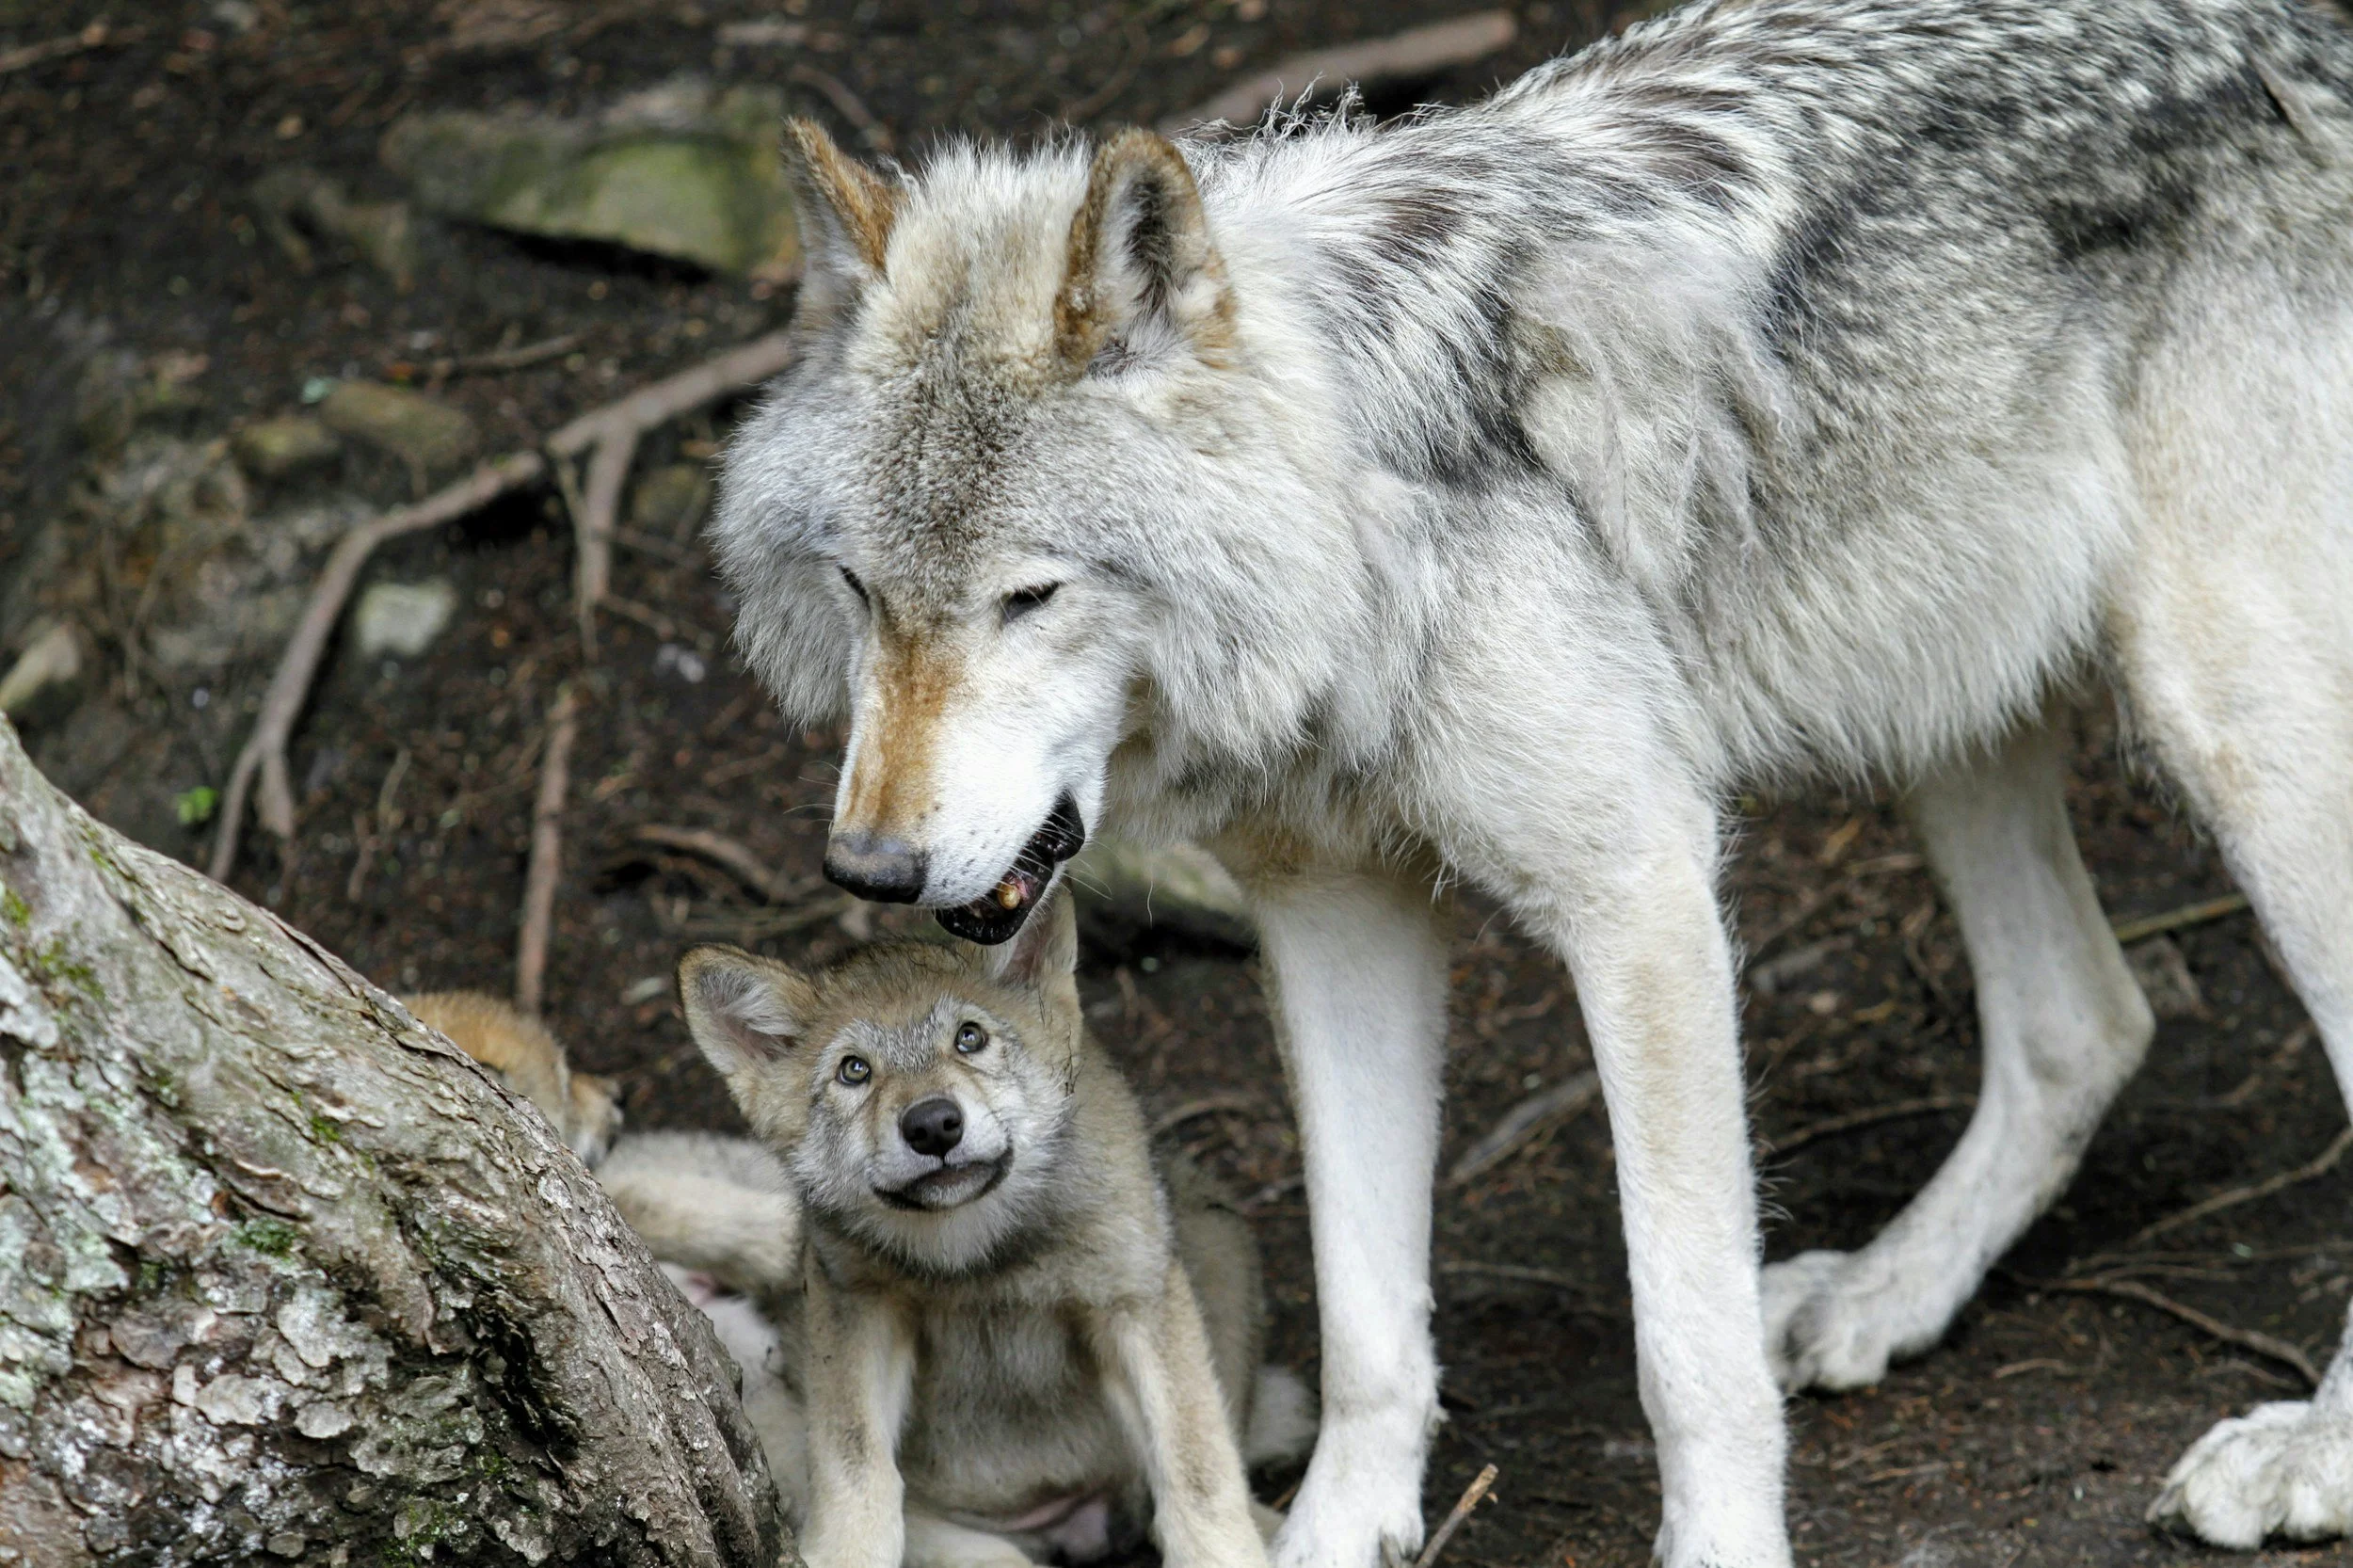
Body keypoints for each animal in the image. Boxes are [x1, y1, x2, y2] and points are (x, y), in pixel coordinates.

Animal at [671, 890, 1313, 1568]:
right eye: (854, 1071)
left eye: (969, 1038)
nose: (933, 1124)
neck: (976, 1256)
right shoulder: (856, 1305)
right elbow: (855, 1465)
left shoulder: (1132, 1299)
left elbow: (1198, 1471)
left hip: (1216, 1243)